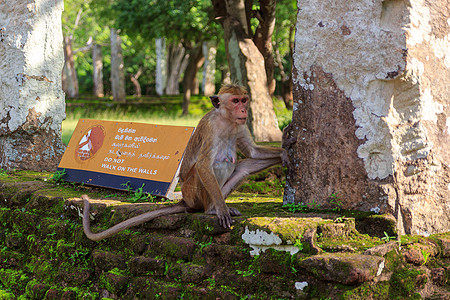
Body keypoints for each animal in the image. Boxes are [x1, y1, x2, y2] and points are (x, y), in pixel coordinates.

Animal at [82, 82, 284, 241]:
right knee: (209, 168)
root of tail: (185, 200)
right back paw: (212, 209)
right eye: (235, 101)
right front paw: (221, 209)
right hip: (193, 194)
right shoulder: (211, 128)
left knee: (243, 168)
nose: (243, 110)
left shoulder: (240, 125)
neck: (226, 120)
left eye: (244, 100)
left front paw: (285, 154)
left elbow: (253, 152)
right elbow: (203, 165)